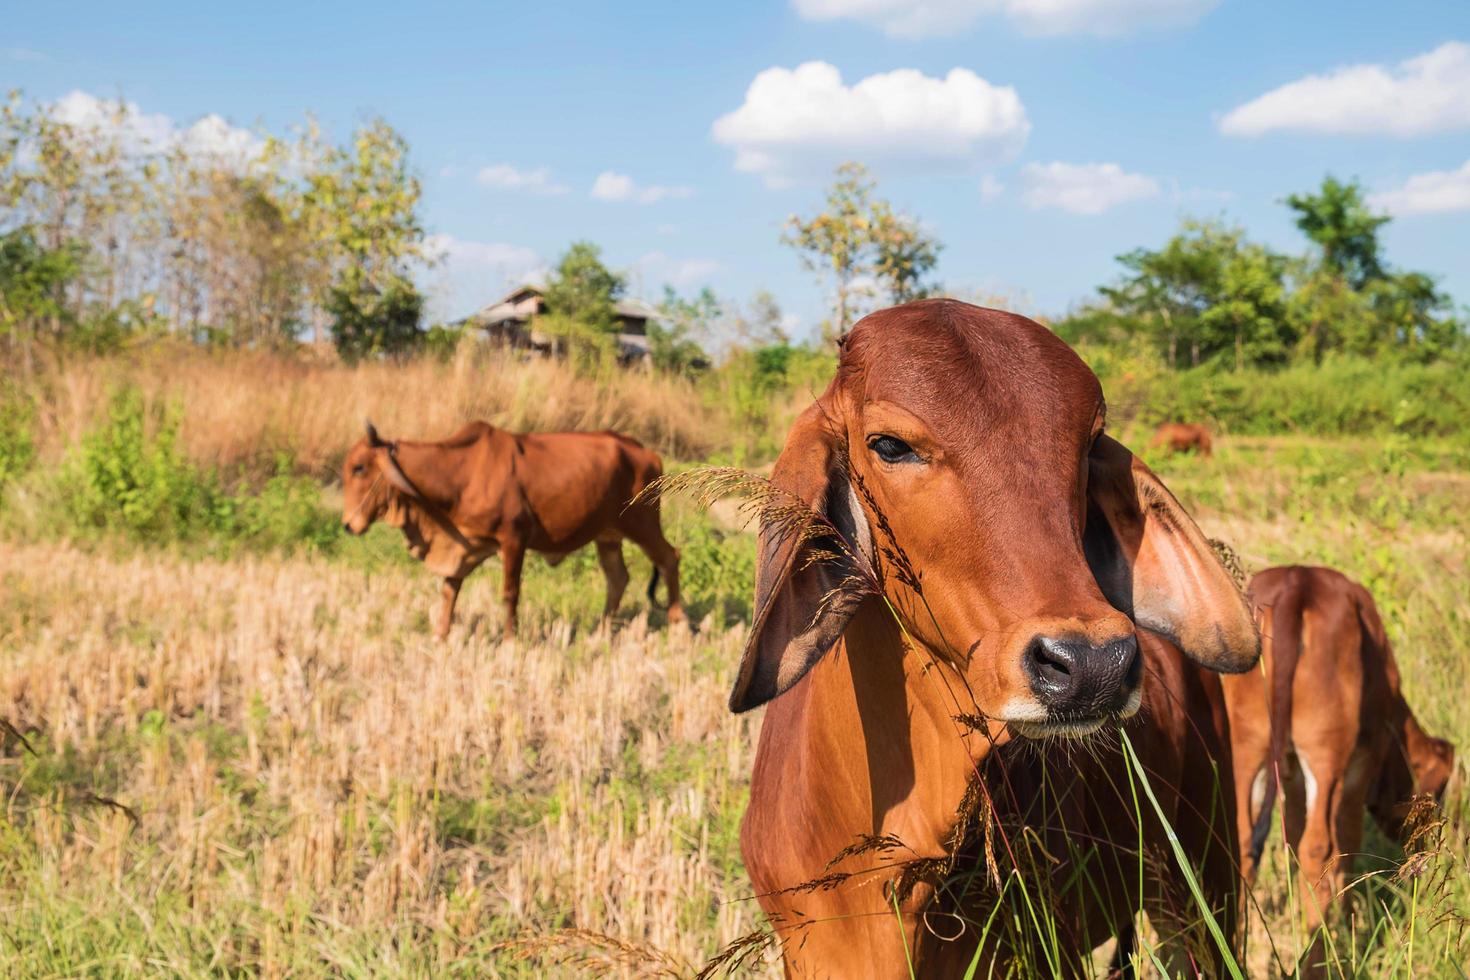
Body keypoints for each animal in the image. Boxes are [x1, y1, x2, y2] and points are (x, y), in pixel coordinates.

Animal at [342, 420, 682, 637]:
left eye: (359, 467)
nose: (348, 525)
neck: (460, 475)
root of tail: (646, 452)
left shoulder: (513, 539)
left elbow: (509, 592)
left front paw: (509, 641)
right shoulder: (461, 545)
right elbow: (449, 589)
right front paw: (440, 636)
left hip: (642, 524)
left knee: (669, 558)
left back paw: (678, 625)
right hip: (608, 535)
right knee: (617, 578)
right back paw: (600, 632)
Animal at [1217, 564, 1458, 975]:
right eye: (1436, 794)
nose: (1423, 854)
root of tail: (1298, 583)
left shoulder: (1292, 772)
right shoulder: (1363, 760)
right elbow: (1346, 840)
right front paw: (1344, 920)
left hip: (1247, 742)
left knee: (1246, 838)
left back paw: (1239, 954)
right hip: (1327, 749)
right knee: (1321, 848)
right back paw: (1317, 959)